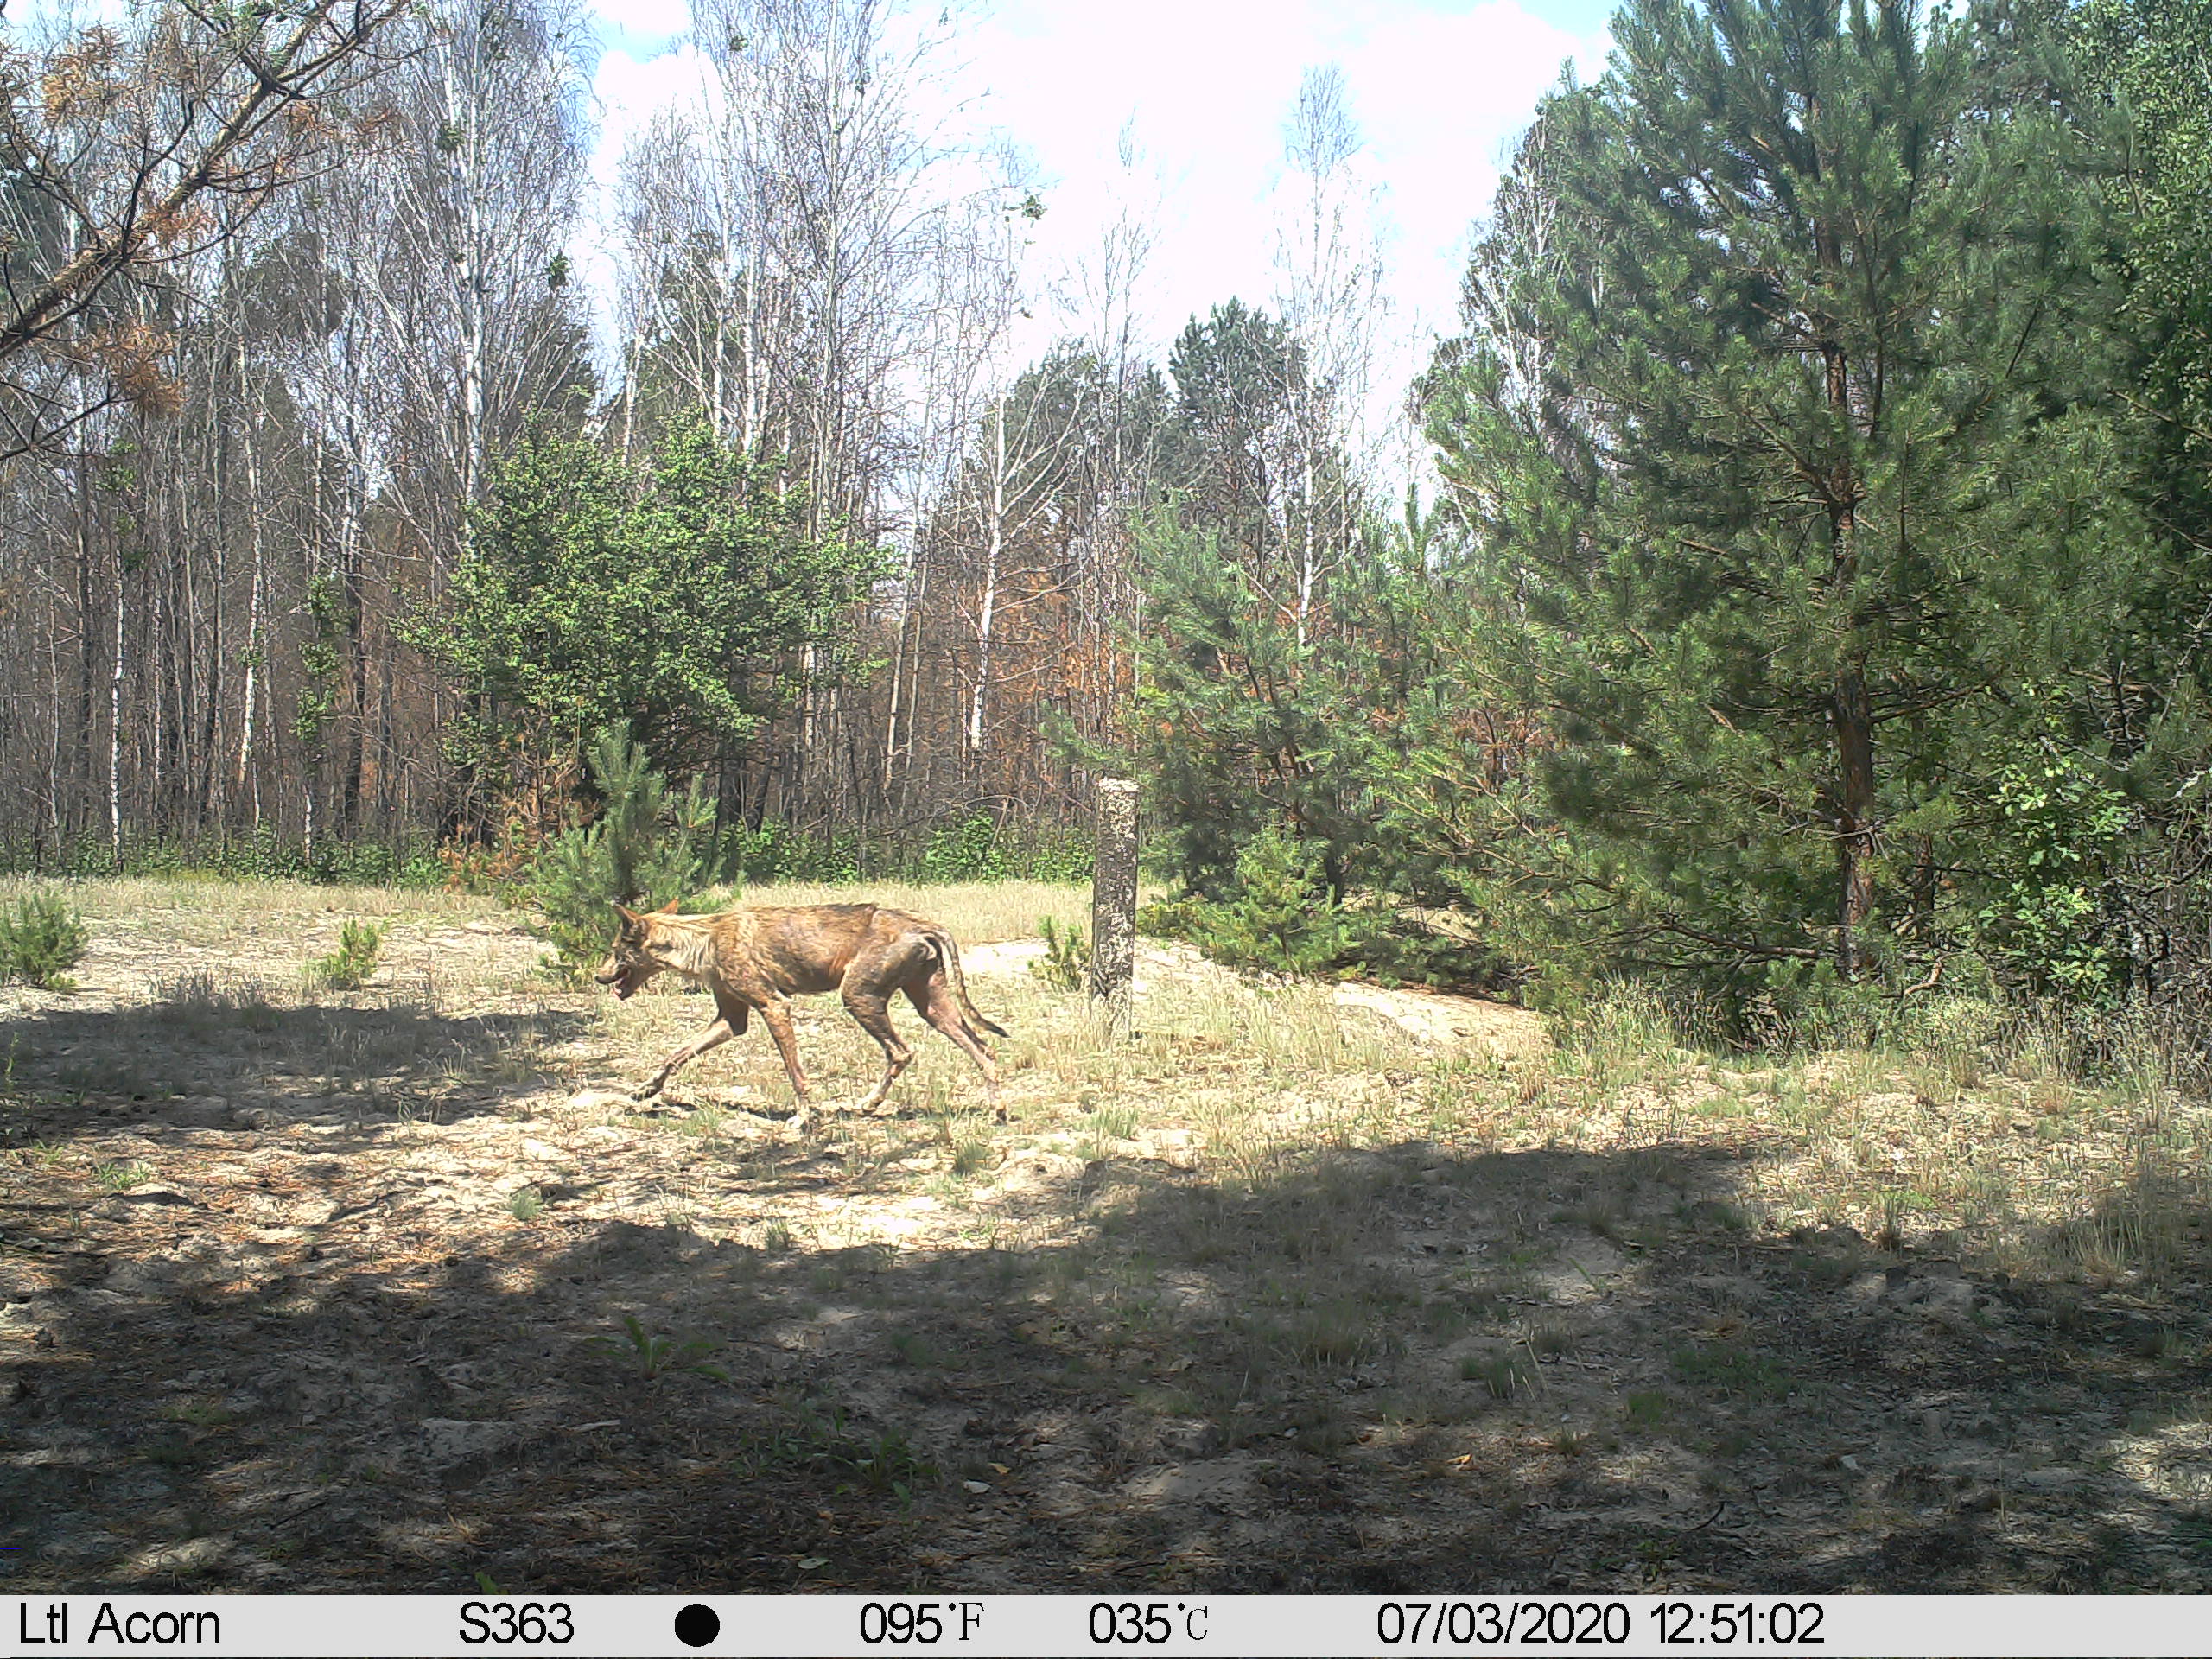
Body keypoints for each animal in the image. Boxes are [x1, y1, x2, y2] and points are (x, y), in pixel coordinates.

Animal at [595, 899, 1006, 1131]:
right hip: (933, 1009)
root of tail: (922, 923)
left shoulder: (774, 1007)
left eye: (615, 951)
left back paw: (869, 1104)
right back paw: (997, 1111)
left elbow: (796, 1075)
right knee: (984, 1050)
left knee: (902, 1052)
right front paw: (647, 1089)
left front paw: (803, 1118)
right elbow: (674, 1055)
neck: (704, 939)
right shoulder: (732, 1020)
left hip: (858, 998)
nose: (599, 977)